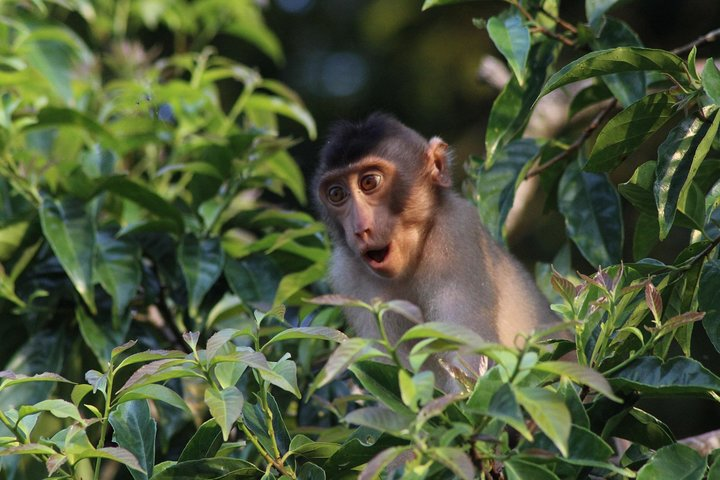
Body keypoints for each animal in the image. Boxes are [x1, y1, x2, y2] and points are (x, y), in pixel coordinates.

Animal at [312, 113, 558, 391]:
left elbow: (471, 368)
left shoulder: (457, 236)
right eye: (336, 194)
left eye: (369, 182)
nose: (359, 229)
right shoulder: (348, 276)